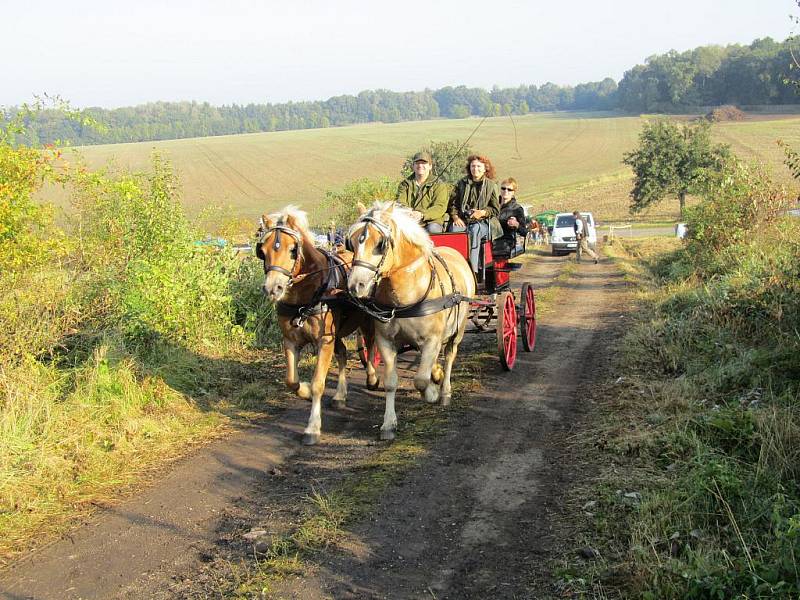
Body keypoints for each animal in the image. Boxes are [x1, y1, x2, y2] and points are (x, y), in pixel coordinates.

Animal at [258, 206, 380, 446]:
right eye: (263, 251)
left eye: (292, 249)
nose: (273, 288)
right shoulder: (291, 341)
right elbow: (291, 380)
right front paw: (303, 390)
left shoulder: (324, 340)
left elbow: (318, 384)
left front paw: (312, 428)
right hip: (338, 333)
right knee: (342, 353)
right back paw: (340, 395)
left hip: (366, 321)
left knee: (371, 346)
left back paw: (372, 377)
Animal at [346, 202, 476, 440]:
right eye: (351, 242)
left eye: (380, 243)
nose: (355, 285)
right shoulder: (386, 341)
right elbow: (390, 382)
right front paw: (388, 424)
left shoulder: (432, 339)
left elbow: (420, 380)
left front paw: (432, 393)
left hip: (458, 330)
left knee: (449, 356)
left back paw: (444, 391)